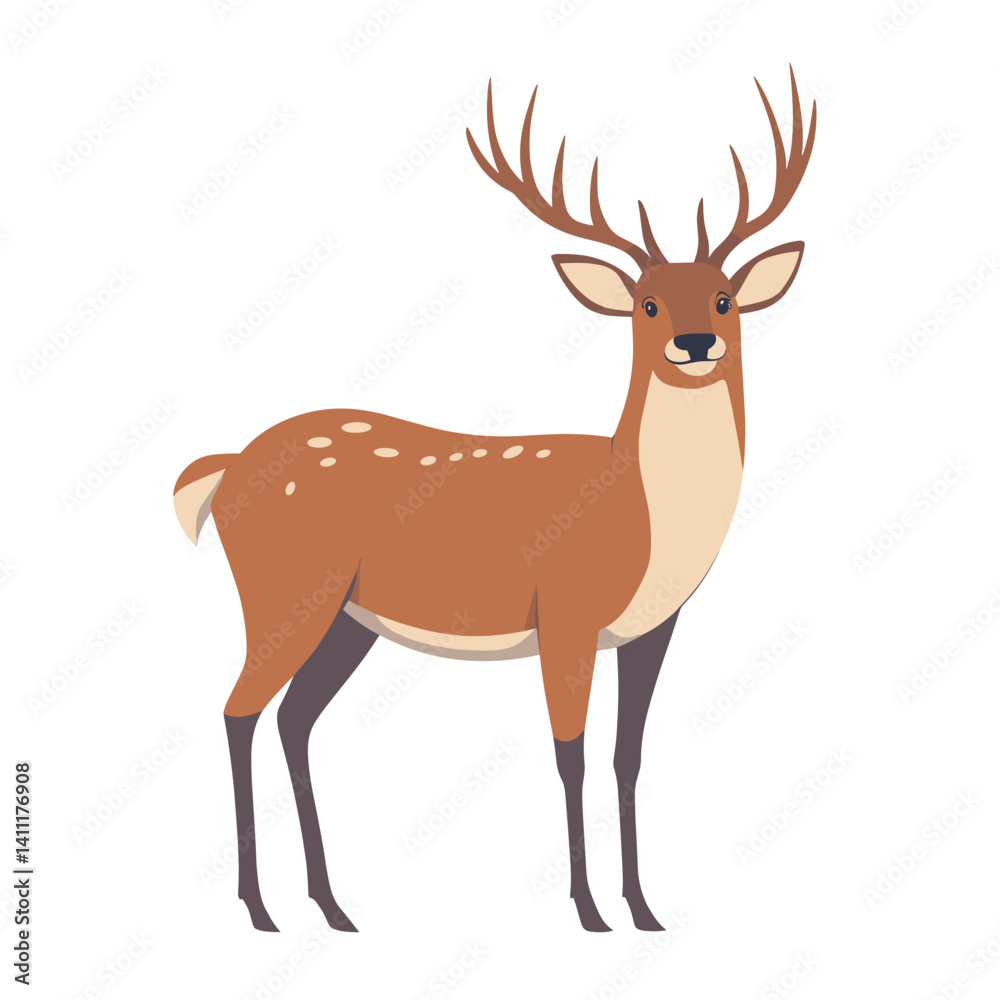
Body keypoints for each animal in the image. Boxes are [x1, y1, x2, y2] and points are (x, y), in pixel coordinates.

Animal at [173, 68, 816, 933]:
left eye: (723, 298)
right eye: (647, 304)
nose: (694, 344)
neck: (646, 520)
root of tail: (223, 469)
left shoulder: (653, 628)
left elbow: (628, 756)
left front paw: (644, 908)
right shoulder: (567, 612)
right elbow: (572, 755)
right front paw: (588, 910)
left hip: (346, 617)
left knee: (292, 718)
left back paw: (332, 906)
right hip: (282, 589)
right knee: (239, 710)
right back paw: (258, 908)